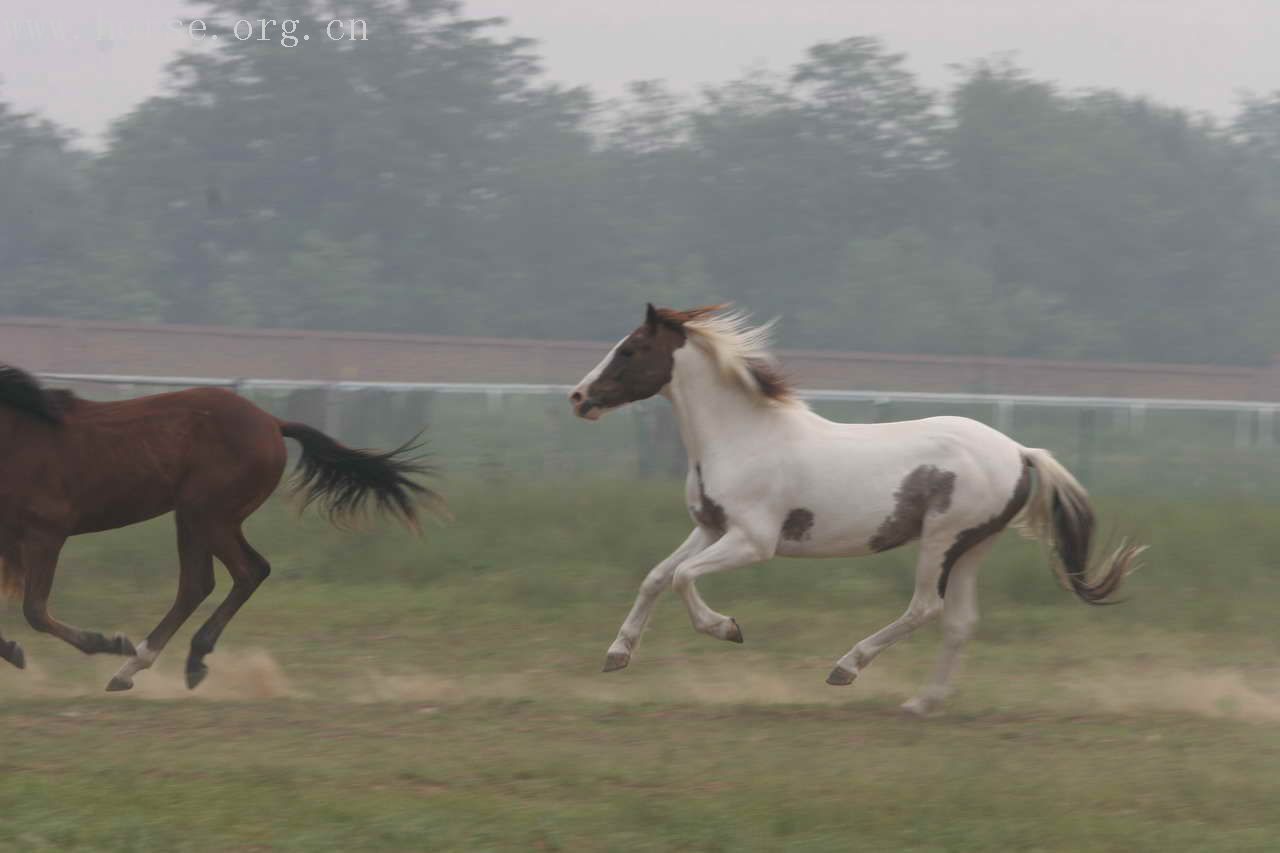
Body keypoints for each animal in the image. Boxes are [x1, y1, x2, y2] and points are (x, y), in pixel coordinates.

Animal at [0, 366, 442, 691]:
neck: (17, 436)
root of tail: (272, 422)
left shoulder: (46, 532)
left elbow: (35, 610)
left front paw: (105, 642)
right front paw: (14, 650)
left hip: (204, 514)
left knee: (237, 573)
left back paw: (147, 662)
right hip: (204, 518)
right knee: (210, 581)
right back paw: (167, 663)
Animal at [570, 302, 1141, 712]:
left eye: (630, 349)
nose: (578, 397)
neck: (743, 438)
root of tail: (1021, 451)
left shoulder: (753, 542)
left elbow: (683, 578)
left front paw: (728, 628)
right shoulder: (711, 529)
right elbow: (656, 576)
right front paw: (616, 655)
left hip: (942, 541)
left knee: (925, 608)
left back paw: (846, 668)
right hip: (973, 547)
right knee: (960, 623)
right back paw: (921, 703)